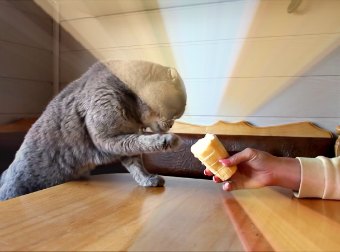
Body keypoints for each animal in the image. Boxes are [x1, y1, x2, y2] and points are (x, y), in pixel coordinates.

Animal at [0, 59, 186, 201]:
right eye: (175, 111)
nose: (171, 125)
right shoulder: (107, 137)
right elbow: (140, 142)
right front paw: (169, 140)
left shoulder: (125, 142)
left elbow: (137, 164)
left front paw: (148, 179)